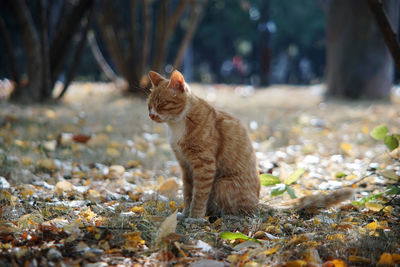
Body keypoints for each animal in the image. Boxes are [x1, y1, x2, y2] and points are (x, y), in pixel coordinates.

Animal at [147, 70, 260, 219]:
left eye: (162, 104)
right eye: (149, 105)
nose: (151, 115)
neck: (177, 125)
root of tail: (258, 202)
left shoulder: (204, 165)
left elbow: (199, 195)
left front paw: (195, 217)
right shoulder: (185, 166)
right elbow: (188, 193)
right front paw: (185, 213)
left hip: (222, 184)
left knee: (244, 211)